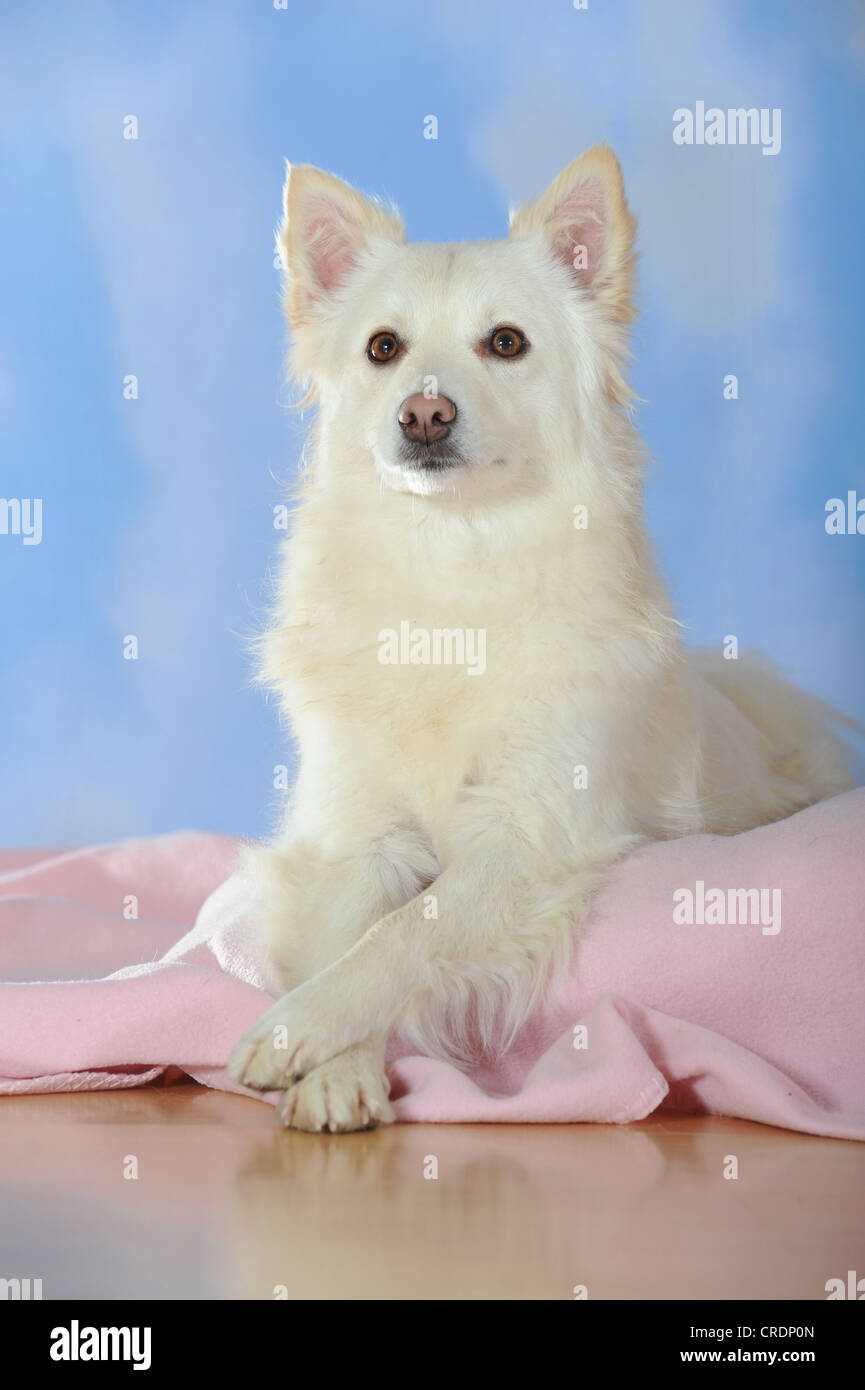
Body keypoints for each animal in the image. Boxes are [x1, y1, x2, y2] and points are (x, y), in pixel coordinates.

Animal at [226, 146, 856, 1134]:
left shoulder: (527, 837)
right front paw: (334, 1066)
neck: (451, 573)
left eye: (506, 344)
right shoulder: (357, 839)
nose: (423, 415)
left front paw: (302, 1032)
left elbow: (400, 936)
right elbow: (351, 933)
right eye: (382, 349)